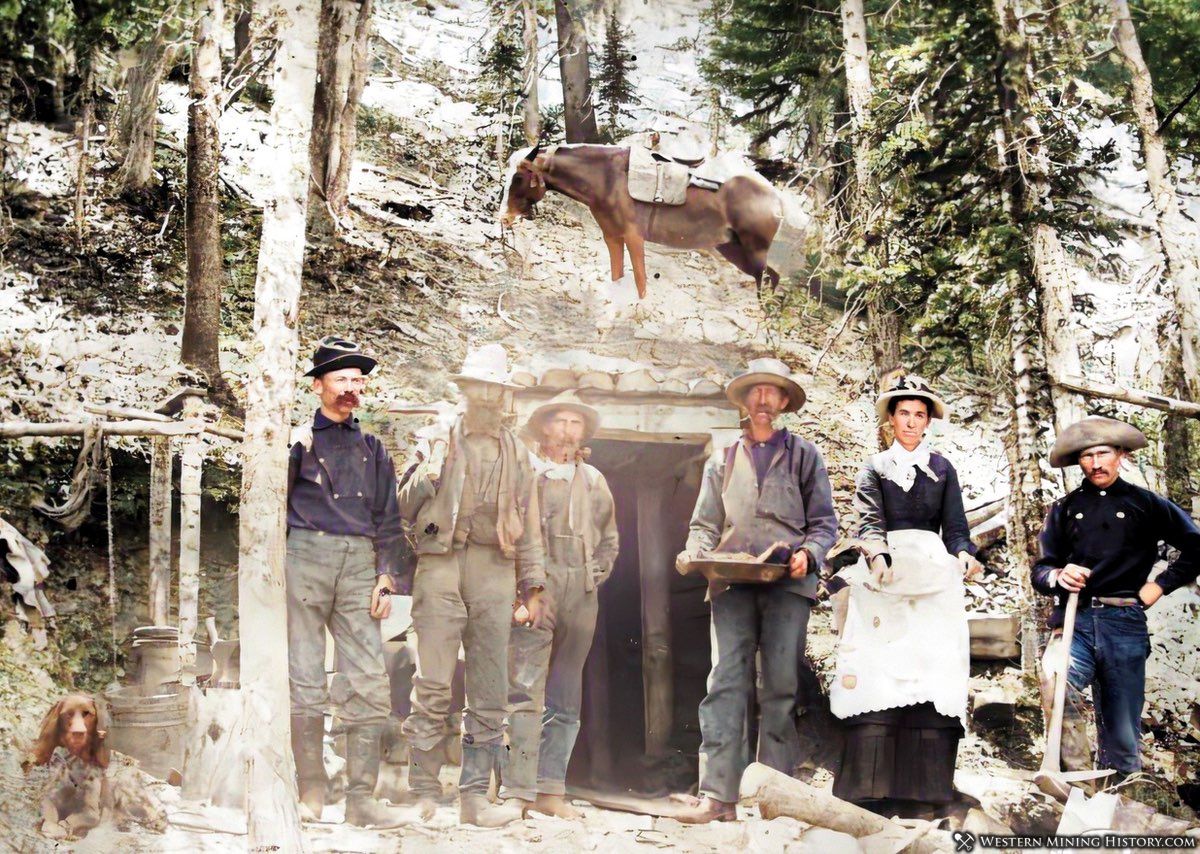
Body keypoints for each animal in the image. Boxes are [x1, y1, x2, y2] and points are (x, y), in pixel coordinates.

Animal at [26, 695, 168, 839]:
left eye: (87, 713)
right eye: (68, 714)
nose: (78, 733)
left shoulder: (91, 813)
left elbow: (68, 821)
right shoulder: (49, 799)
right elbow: (50, 815)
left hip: (124, 789)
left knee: (150, 807)